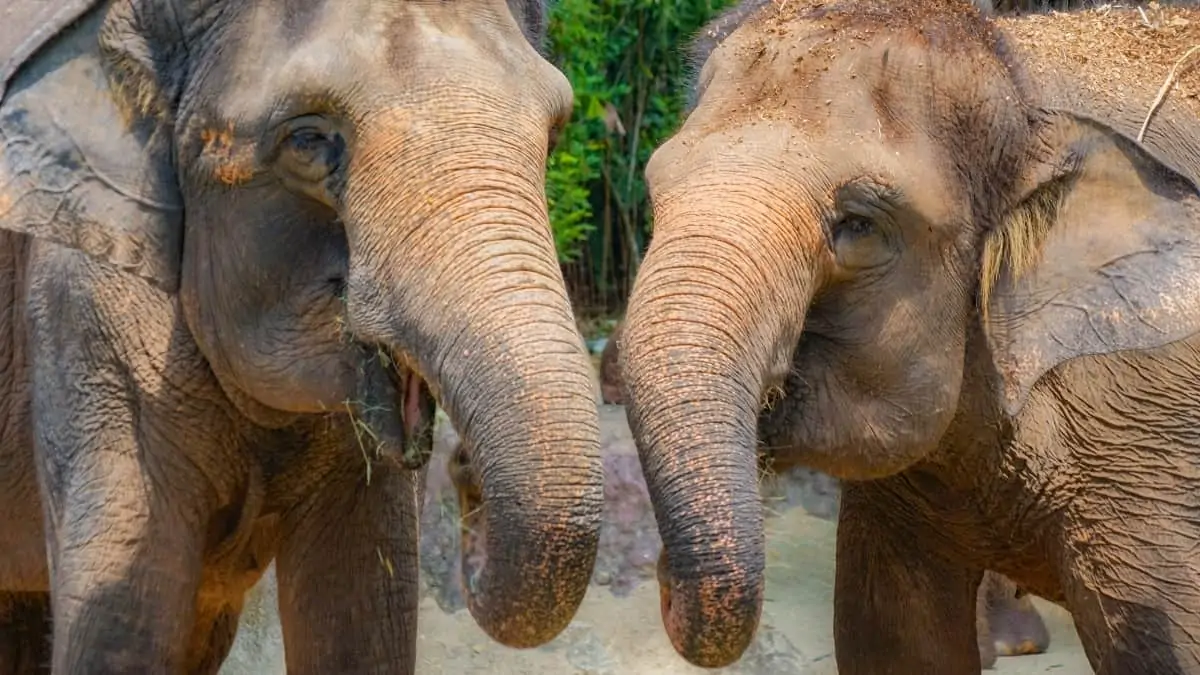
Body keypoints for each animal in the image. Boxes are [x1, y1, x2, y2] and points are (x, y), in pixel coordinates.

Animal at [0, 1, 604, 672]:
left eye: (553, 133)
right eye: (308, 141)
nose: (465, 468)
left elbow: (361, 617)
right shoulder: (85, 317)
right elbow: (120, 628)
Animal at [614, 1, 1200, 672]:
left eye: (859, 224)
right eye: (655, 195)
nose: (662, 579)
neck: (1024, 86)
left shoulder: (1145, 436)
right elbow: (891, 640)